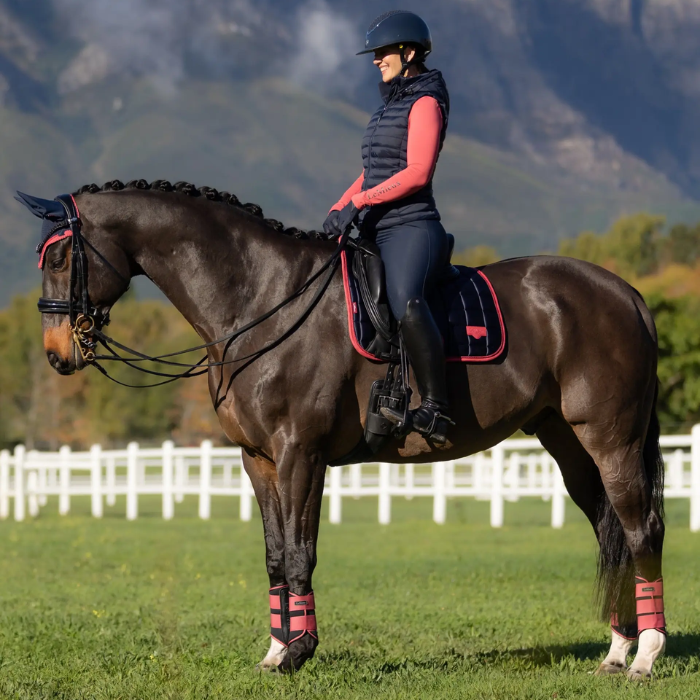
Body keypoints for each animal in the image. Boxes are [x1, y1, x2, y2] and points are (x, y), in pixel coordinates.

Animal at [24, 179, 666, 679]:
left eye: (59, 259)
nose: (56, 354)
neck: (261, 302)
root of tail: (625, 292)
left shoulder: (299, 454)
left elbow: (300, 552)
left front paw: (299, 651)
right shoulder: (258, 459)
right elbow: (275, 555)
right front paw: (275, 650)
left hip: (612, 438)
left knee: (642, 530)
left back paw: (646, 654)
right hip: (568, 442)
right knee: (609, 530)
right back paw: (617, 649)